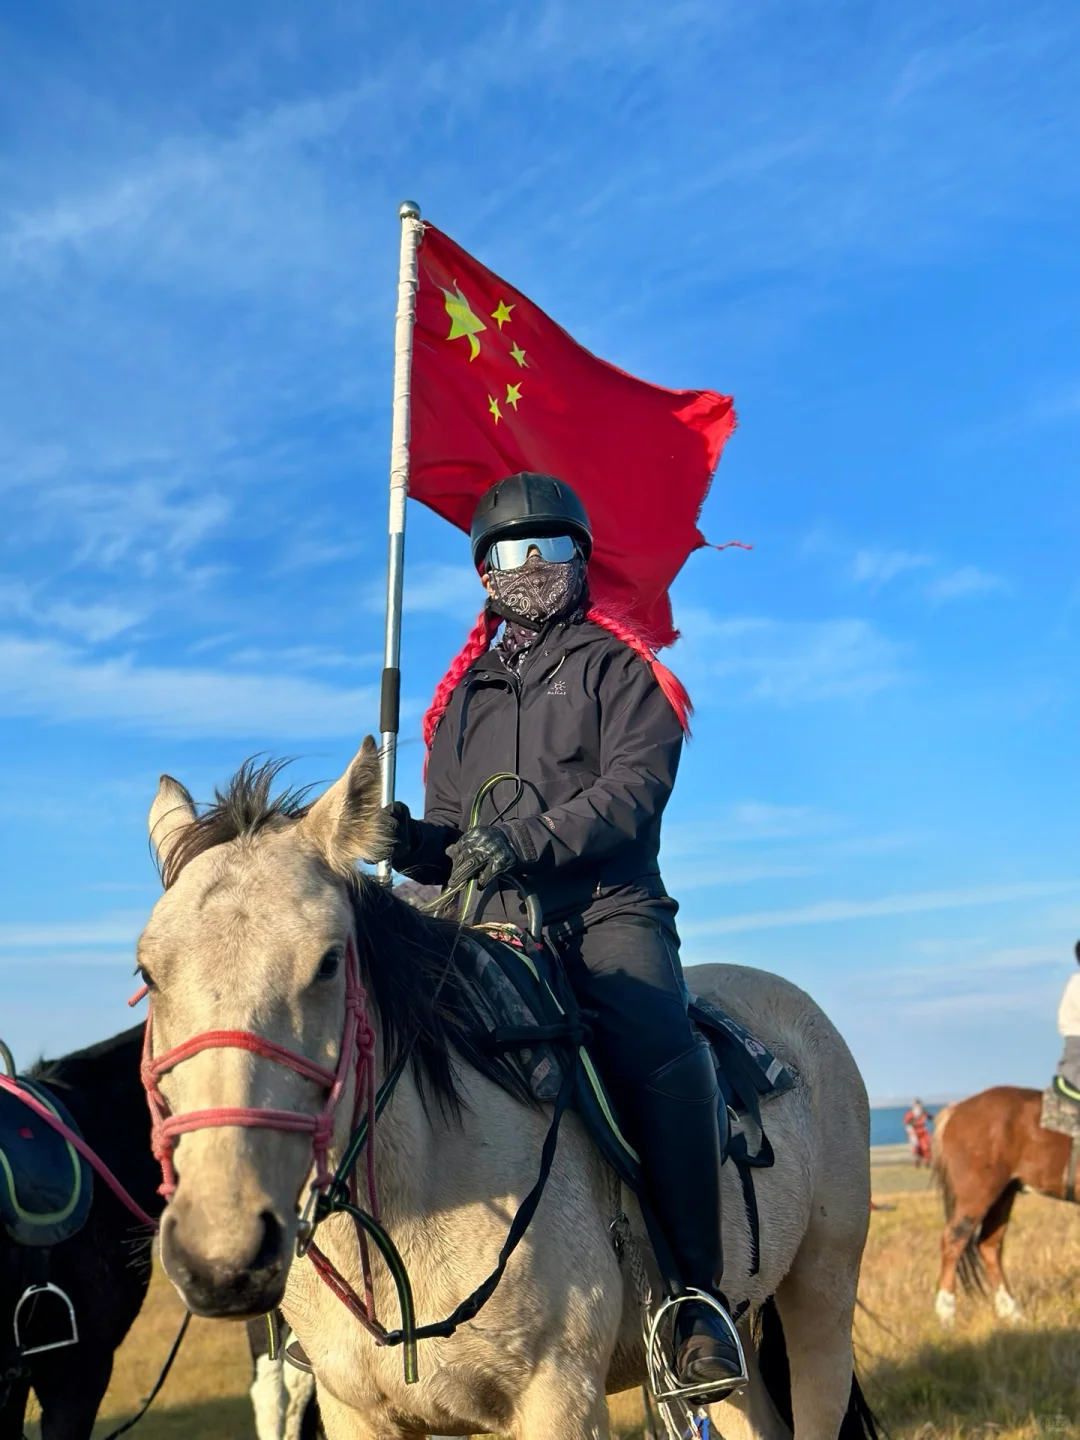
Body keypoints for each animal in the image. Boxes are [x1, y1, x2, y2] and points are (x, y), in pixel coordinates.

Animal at [137, 743, 881, 1440]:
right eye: (148, 973)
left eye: (327, 962)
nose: (220, 1256)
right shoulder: (358, 1414)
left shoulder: (559, 1401)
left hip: (822, 1295)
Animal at [933, 1082, 1080, 1324]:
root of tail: (955, 1110)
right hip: (979, 1194)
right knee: (954, 1239)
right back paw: (946, 1313)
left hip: (1003, 1194)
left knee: (988, 1245)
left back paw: (1011, 1311)